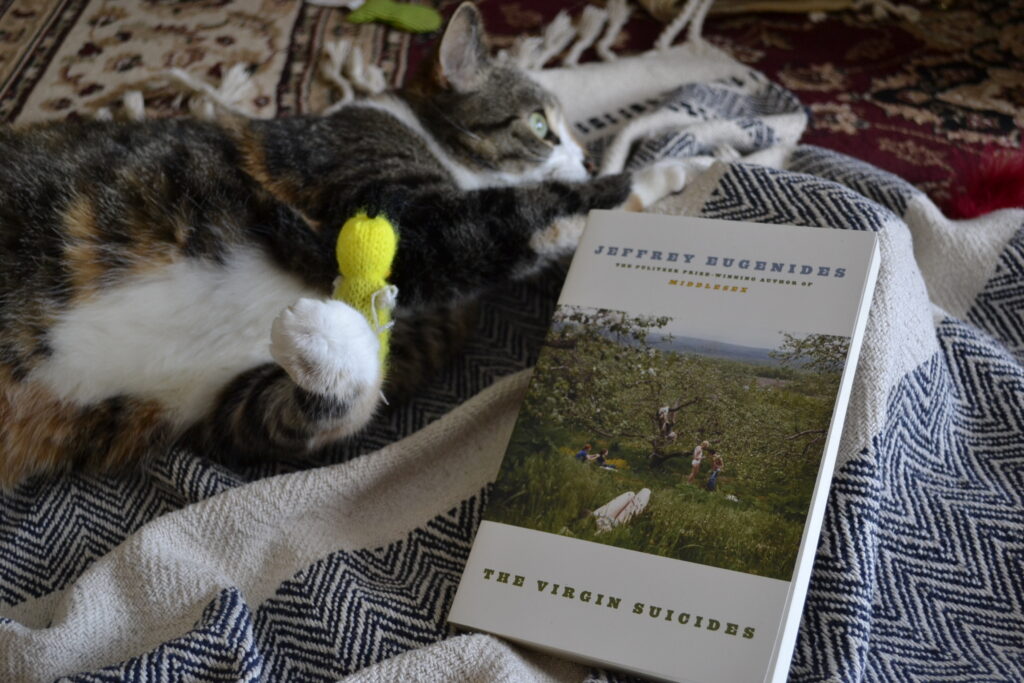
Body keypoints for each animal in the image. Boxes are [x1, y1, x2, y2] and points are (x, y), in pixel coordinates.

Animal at [2, 2, 688, 489]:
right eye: (542, 124)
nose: (587, 154)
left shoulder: (223, 414)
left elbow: (308, 413)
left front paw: (317, 340)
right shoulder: (403, 213)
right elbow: (533, 207)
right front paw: (664, 176)